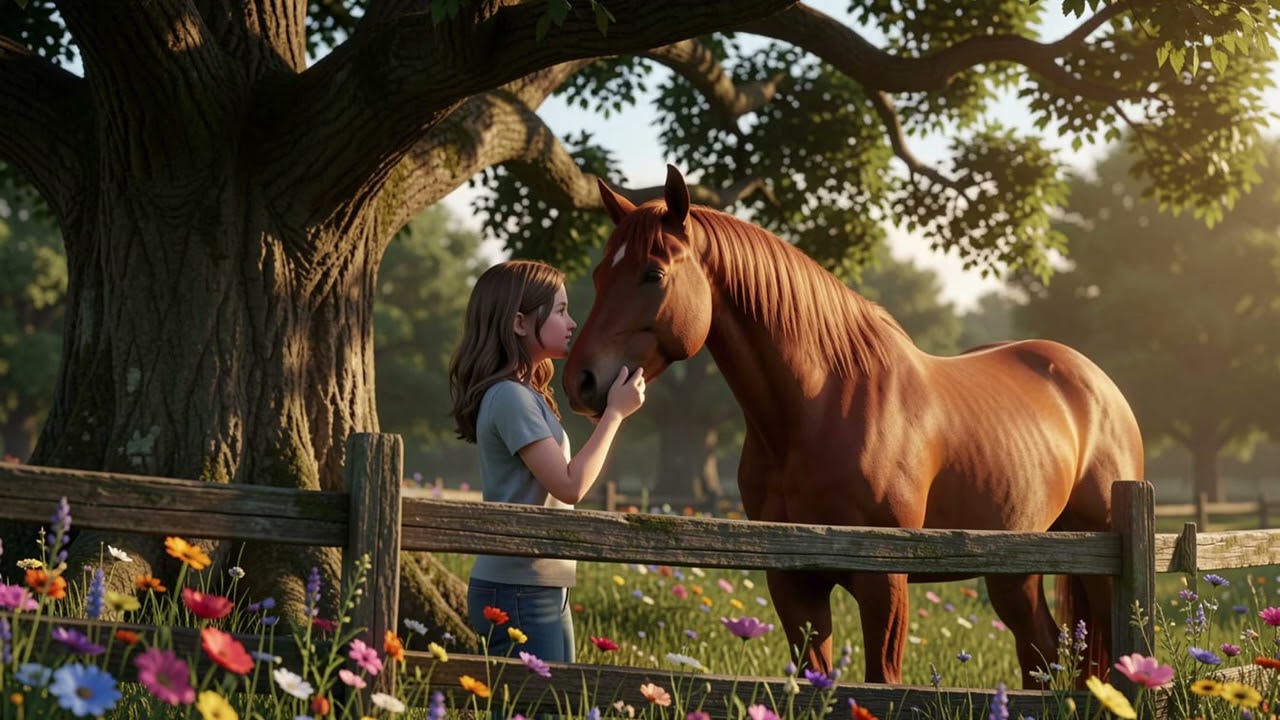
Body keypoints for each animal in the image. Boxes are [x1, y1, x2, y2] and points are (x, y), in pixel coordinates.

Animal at [563, 165, 1144, 688]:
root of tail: (1096, 383)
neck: (819, 410)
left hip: (1095, 573)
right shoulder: (793, 581)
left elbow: (880, 683)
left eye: (653, 274)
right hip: (1018, 569)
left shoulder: (883, 580)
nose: (580, 382)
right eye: (598, 274)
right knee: (1040, 657)